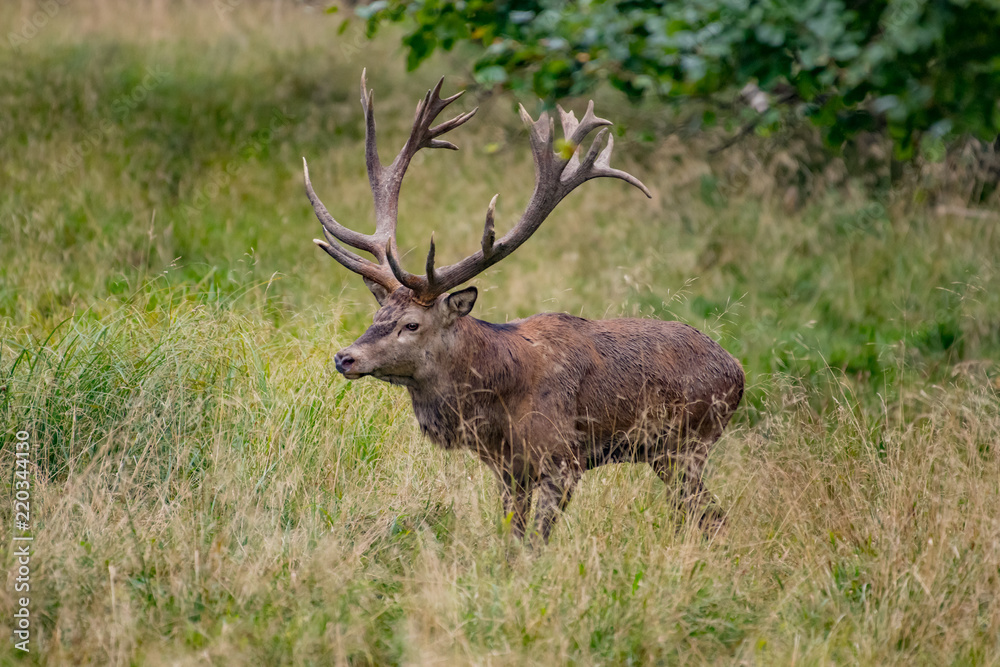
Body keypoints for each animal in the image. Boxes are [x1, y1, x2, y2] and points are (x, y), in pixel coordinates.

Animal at [304, 71, 745, 544]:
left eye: (411, 324)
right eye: (376, 316)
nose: (345, 357)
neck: (499, 403)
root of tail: (738, 372)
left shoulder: (563, 459)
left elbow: (536, 542)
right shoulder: (508, 469)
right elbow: (511, 539)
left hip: (689, 441)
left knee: (711, 515)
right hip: (666, 453)